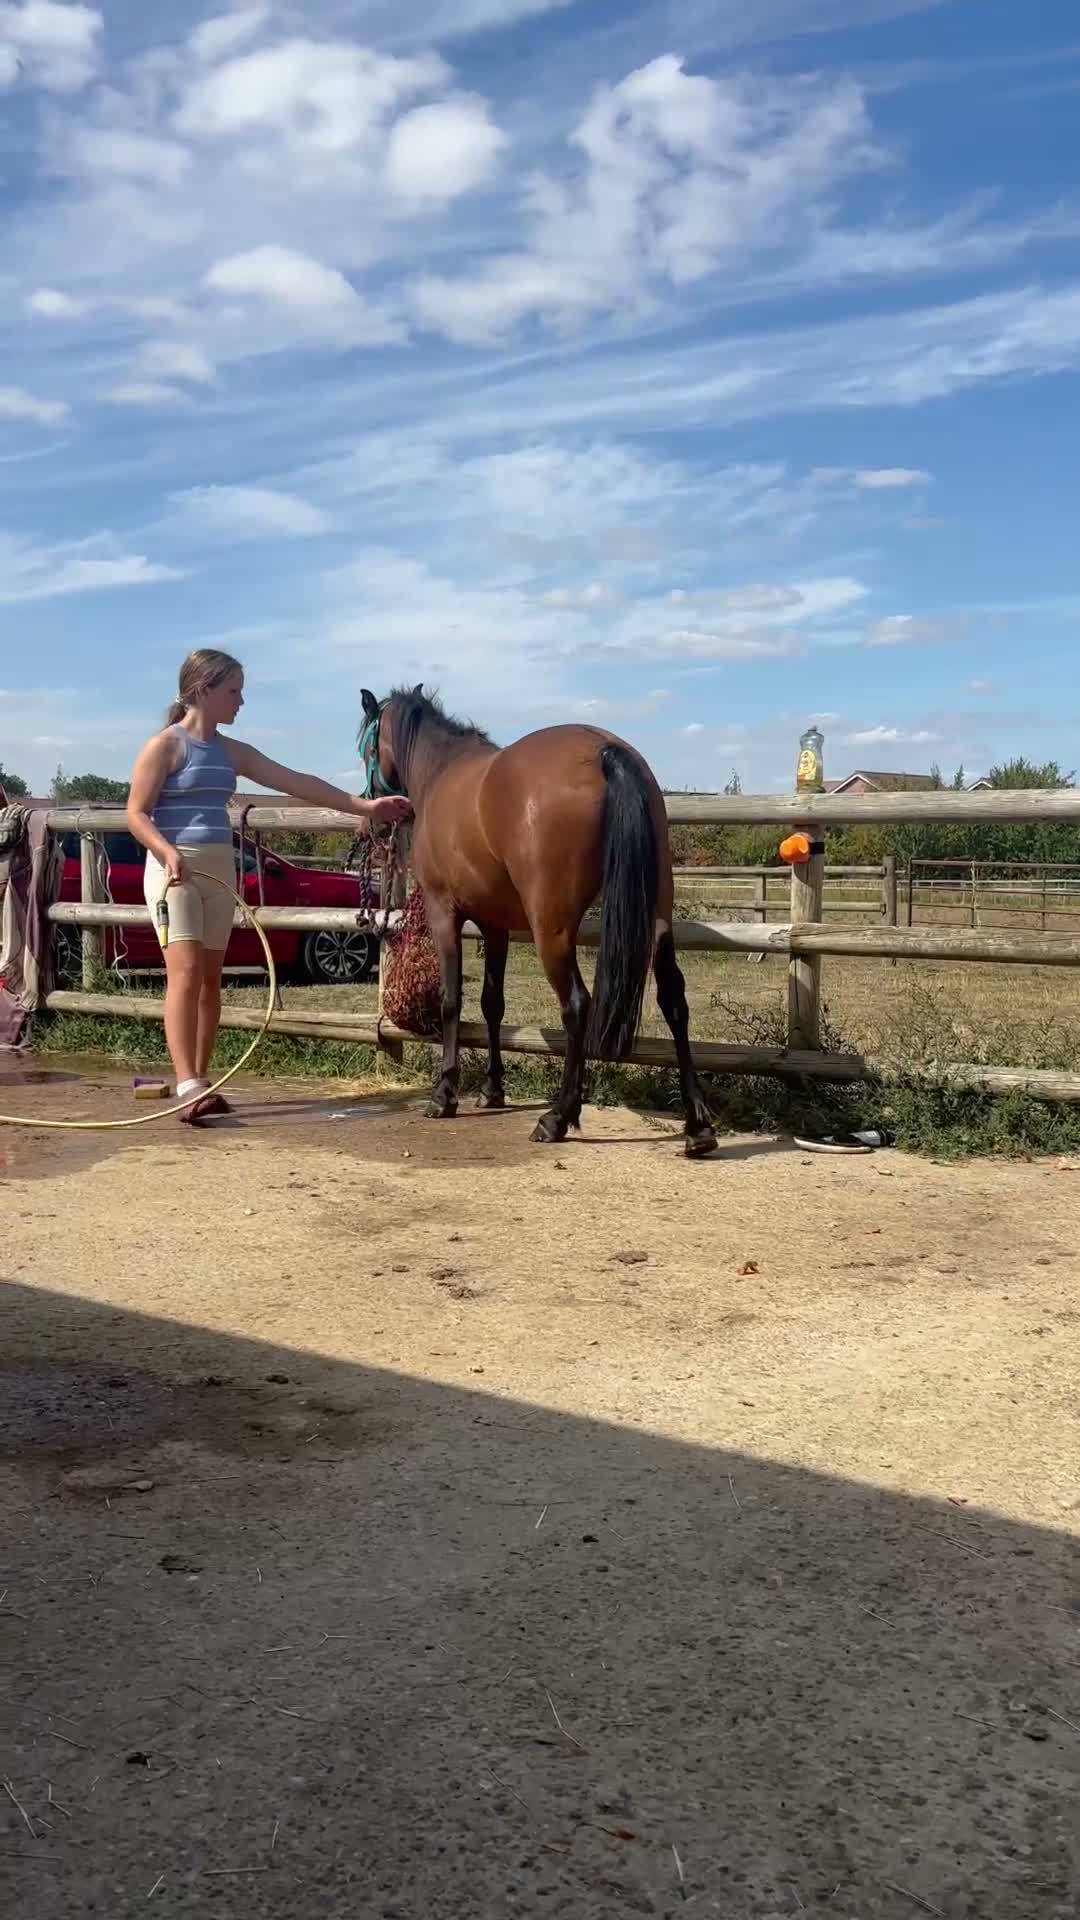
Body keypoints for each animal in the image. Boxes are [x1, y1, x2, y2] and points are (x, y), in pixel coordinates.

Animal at [359, 685, 718, 1158]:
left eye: (365, 747)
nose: (373, 822)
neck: (441, 773)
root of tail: (606, 751)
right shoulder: (494, 927)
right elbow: (492, 1003)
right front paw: (492, 1090)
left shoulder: (444, 915)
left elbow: (452, 1001)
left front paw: (444, 1094)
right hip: (658, 916)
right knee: (674, 1000)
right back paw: (698, 1127)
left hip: (552, 931)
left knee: (577, 1006)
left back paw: (557, 1117)